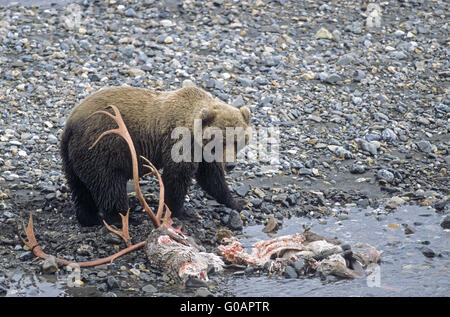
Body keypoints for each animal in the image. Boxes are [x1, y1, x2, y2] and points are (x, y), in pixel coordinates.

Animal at [59, 85, 251, 226]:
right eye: (221, 141)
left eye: (237, 140)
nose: (231, 165)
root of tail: (70, 124)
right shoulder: (180, 143)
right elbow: (177, 177)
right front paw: (181, 212)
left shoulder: (201, 151)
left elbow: (211, 178)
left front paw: (237, 202)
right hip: (102, 147)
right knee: (110, 185)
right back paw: (124, 218)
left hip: (73, 156)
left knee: (80, 188)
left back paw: (89, 218)